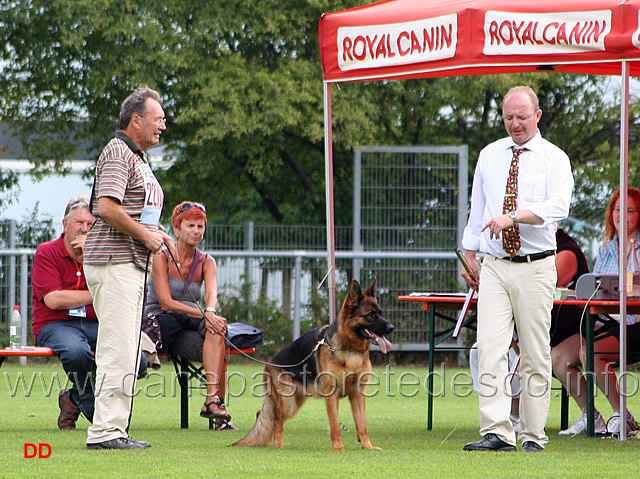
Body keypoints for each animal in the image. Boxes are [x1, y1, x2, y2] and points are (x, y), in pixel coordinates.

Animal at [234, 278, 396, 450]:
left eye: (380, 313)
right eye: (371, 314)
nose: (392, 328)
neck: (350, 350)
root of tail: (269, 362)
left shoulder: (358, 394)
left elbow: (362, 424)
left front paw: (367, 446)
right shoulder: (332, 395)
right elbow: (335, 425)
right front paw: (339, 448)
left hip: (295, 401)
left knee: (265, 415)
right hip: (288, 402)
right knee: (275, 421)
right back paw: (277, 445)